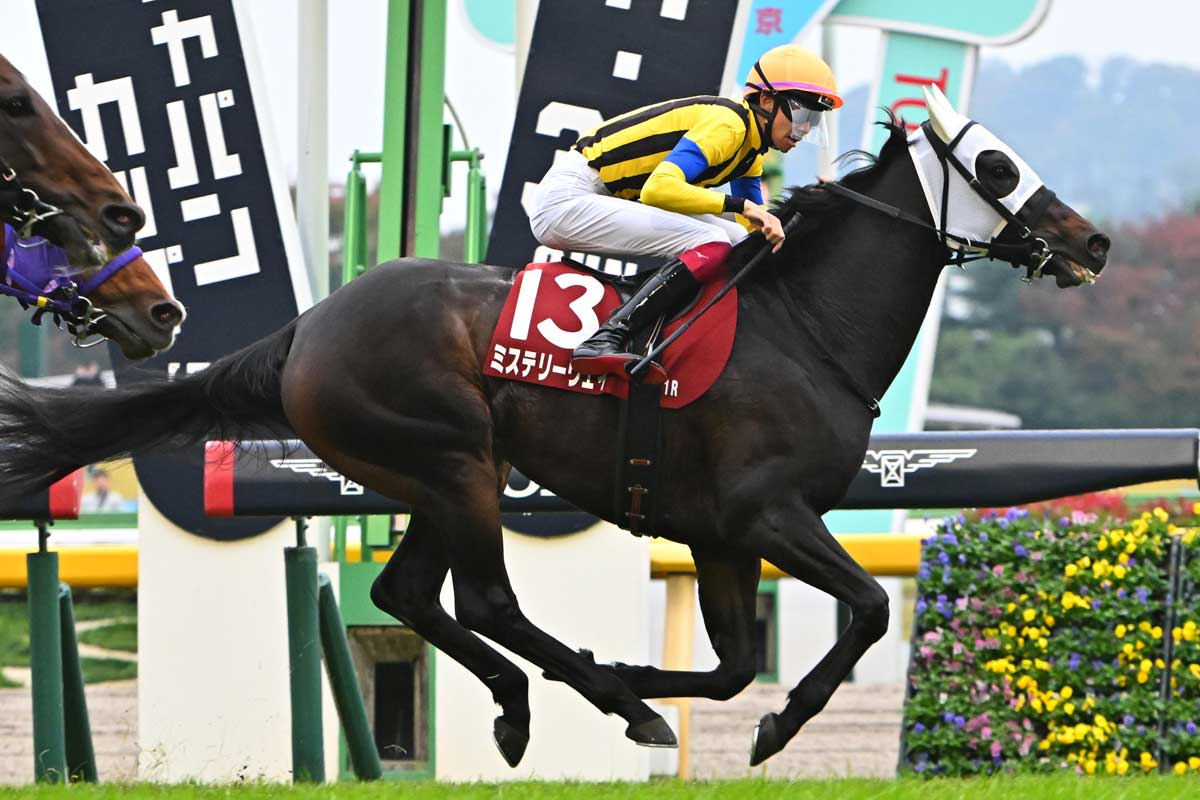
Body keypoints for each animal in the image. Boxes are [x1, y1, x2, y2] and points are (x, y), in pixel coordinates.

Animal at [0, 88, 1110, 767]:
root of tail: (309, 327)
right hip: (457, 460)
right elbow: (868, 613)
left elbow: (734, 663)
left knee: (411, 593)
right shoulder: (771, 514)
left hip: (432, 474)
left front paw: (649, 677)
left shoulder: (720, 534)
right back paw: (596, 701)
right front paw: (760, 725)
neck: (804, 329)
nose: (1093, 242)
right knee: (486, 597)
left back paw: (539, 700)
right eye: (998, 168)